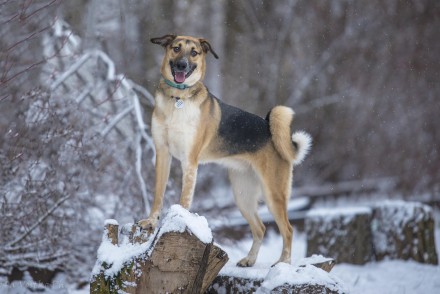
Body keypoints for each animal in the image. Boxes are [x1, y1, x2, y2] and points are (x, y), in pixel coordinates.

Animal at [139, 34, 312, 266]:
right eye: (176, 48)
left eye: (194, 52)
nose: (182, 65)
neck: (177, 99)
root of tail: (270, 130)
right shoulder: (162, 154)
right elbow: (158, 195)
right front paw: (151, 221)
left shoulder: (189, 161)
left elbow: (184, 199)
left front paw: (178, 222)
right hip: (242, 194)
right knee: (261, 228)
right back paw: (249, 260)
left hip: (273, 193)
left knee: (288, 229)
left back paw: (283, 263)